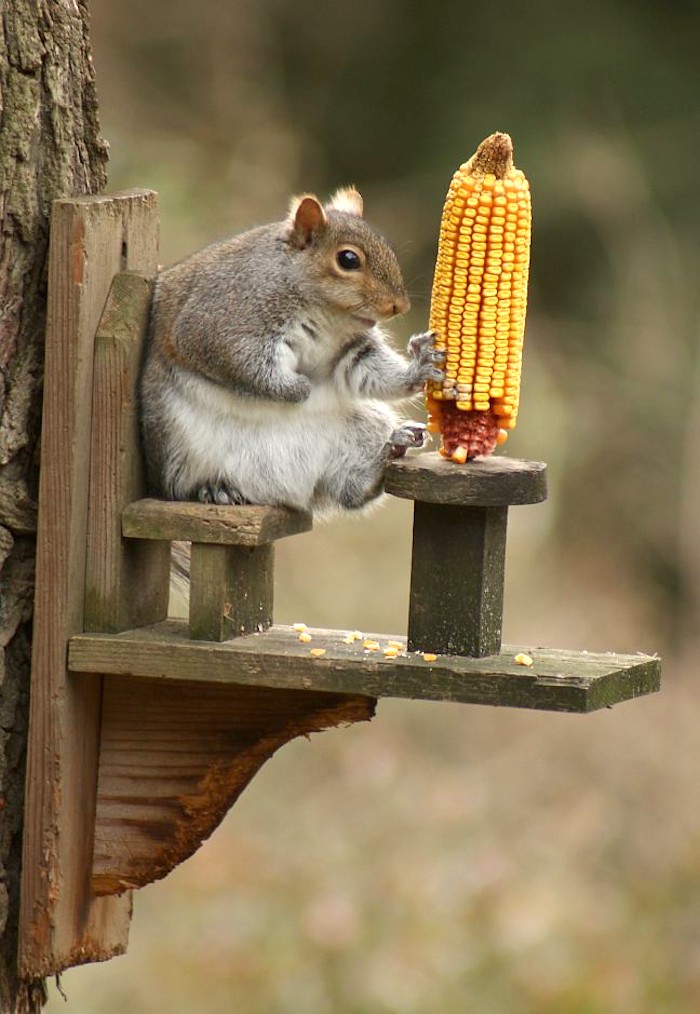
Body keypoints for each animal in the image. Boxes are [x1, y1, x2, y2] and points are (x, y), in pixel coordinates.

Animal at [140, 186, 444, 515]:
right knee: (183, 487)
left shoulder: (351, 348)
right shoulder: (221, 325)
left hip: (360, 431)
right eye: (348, 259)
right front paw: (300, 389)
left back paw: (391, 448)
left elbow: (369, 370)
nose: (399, 306)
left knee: (352, 491)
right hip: (177, 450)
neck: (326, 314)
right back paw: (215, 489)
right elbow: (245, 367)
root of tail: (285, 493)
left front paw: (420, 367)